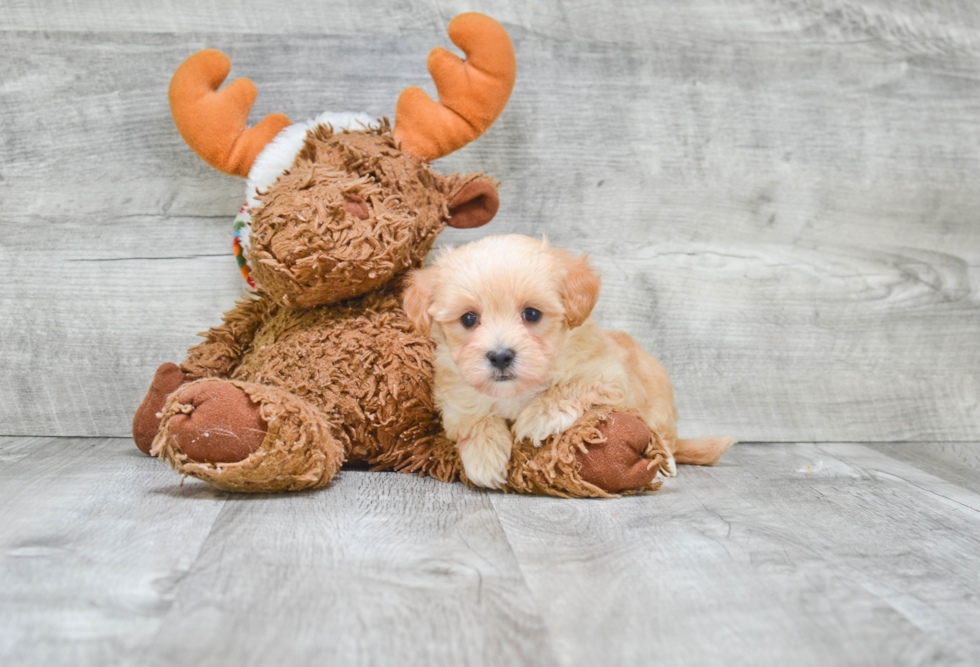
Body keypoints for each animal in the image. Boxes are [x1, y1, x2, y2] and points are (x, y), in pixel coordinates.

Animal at [402, 236, 732, 490]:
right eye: (469, 319)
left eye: (532, 314)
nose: (500, 355)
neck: (517, 391)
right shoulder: (454, 399)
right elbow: (473, 417)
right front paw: (485, 455)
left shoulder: (610, 376)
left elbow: (571, 386)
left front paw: (540, 415)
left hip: (659, 400)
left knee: (665, 436)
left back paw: (668, 460)